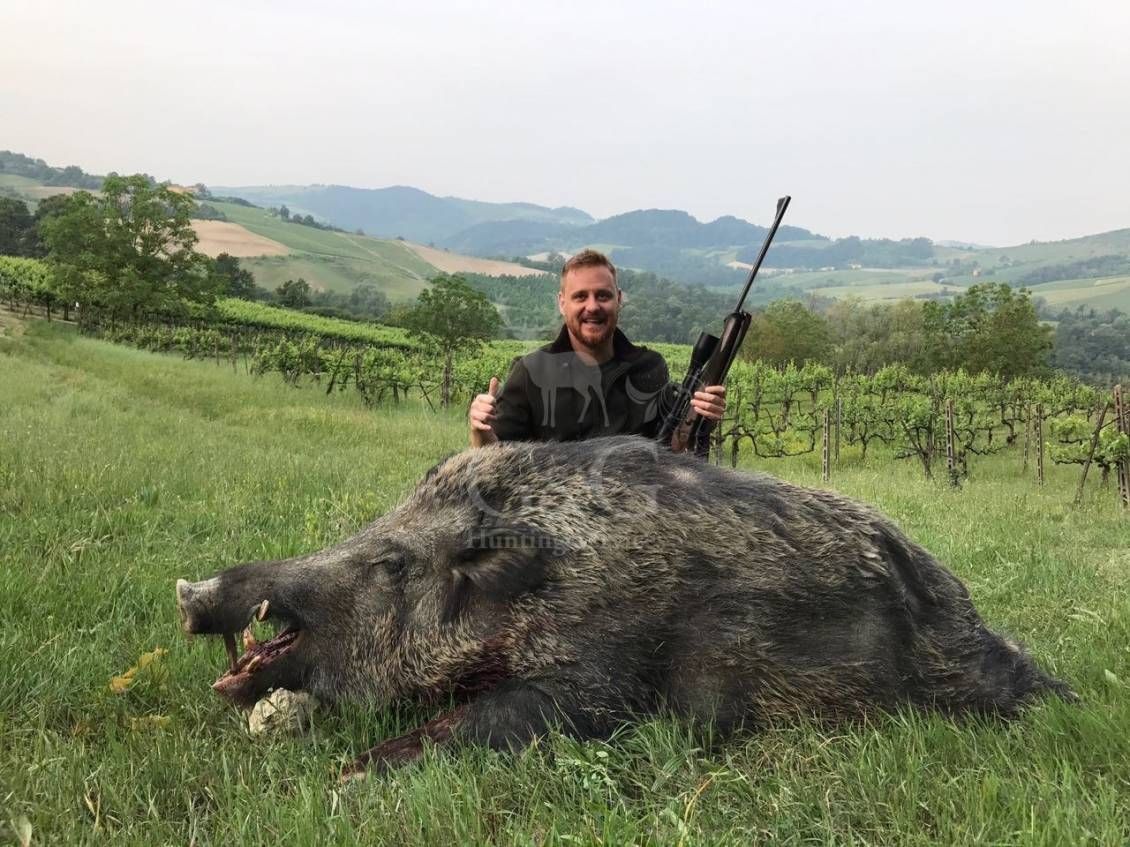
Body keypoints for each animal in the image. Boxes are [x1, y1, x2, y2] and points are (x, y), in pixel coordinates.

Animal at [175, 436, 1072, 778]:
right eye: (372, 524)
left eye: (393, 562)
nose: (192, 591)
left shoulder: (599, 682)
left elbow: (491, 720)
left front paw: (349, 776)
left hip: (972, 670)